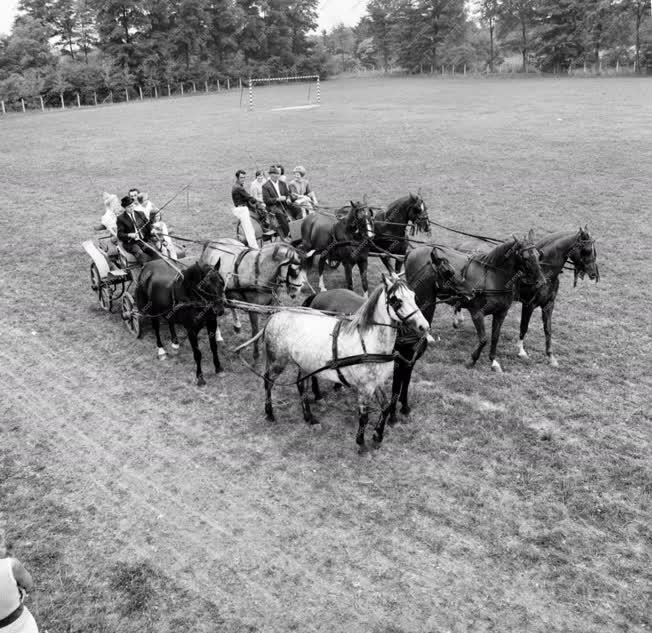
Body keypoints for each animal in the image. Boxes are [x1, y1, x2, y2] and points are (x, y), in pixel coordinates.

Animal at [133, 256, 227, 386]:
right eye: (205, 285)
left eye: (222, 282)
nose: (219, 310)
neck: (193, 297)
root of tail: (145, 266)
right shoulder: (191, 330)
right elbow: (197, 354)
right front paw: (200, 377)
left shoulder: (212, 323)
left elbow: (214, 347)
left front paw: (219, 369)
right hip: (152, 309)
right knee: (156, 327)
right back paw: (161, 350)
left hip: (168, 308)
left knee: (170, 320)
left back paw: (175, 343)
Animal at [237, 276, 430, 450]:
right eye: (396, 300)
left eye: (413, 296)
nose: (424, 326)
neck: (369, 343)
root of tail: (275, 315)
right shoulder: (364, 387)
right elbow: (364, 416)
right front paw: (361, 443)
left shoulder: (377, 382)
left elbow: (386, 407)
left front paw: (377, 436)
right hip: (278, 360)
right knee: (268, 382)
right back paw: (270, 413)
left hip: (305, 363)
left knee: (301, 385)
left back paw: (310, 418)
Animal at [446, 231, 548, 370]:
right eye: (525, 257)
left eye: (538, 255)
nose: (541, 282)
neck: (493, 279)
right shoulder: (477, 313)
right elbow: (484, 339)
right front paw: (472, 360)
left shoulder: (501, 313)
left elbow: (495, 337)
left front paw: (493, 361)